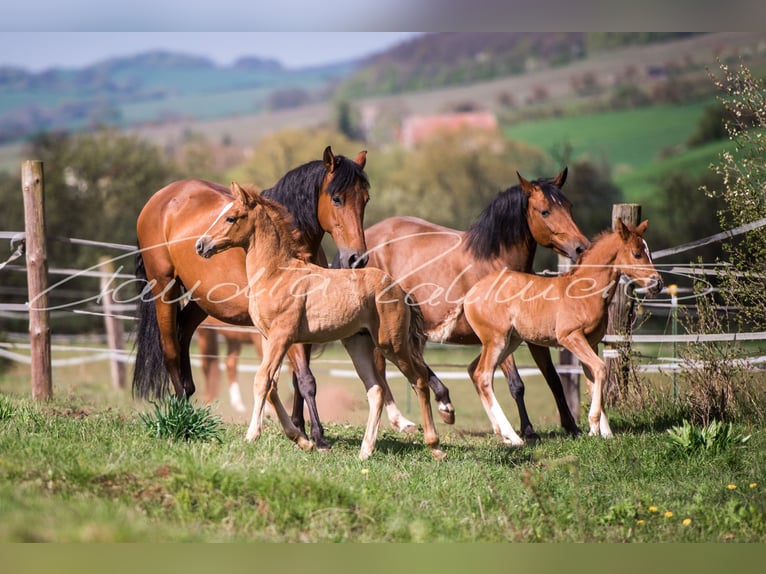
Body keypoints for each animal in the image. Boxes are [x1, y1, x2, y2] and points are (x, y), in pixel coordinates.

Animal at [132, 146, 371, 450]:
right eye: (337, 198)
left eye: (365, 200)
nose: (357, 258)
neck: (284, 250)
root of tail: (160, 198)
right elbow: (305, 379)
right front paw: (317, 436)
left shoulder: (300, 325)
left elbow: (296, 379)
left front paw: (299, 428)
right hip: (164, 288)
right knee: (171, 349)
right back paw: (182, 418)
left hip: (200, 302)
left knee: (183, 336)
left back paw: (188, 401)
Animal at [196, 182, 445, 461]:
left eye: (230, 217)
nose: (201, 245)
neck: (276, 273)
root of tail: (399, 288)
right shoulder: (268, 339)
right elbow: (272, 386)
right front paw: (301, 440)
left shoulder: (282, 337)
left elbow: (262, 381)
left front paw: (252, 435)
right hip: (359, 345)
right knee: (376, 390)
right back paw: (365, 451)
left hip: (392, 344)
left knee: (419, 381)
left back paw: (435, 446)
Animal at [358, 169, 590, 441]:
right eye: (545, 211)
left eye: (569, 206)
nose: (581, 247)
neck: (496, 263)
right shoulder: (498, 333)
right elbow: (516, 384)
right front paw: (528, 431)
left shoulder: (531, 333)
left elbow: (553, 378)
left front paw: (572, 427)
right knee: (384, 365)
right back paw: (418, 414)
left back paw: (434, 407)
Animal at [457, 218, 662, 441]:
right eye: (636, 253)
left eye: (649, 252)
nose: (657, 283)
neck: (584, 291)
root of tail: (470, 294)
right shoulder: (570, 337)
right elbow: (600, 368)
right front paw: (593, 428)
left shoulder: (591, 343)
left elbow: (592, 379)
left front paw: (605, 434)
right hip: (497, 340)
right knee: (483, 375)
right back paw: (514, 437)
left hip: (509, 342)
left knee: (474, 371)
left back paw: (503, 435)